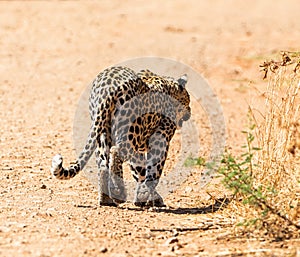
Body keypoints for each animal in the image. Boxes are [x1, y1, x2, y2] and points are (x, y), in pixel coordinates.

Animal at [50, 65, 191, 206]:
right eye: (188, 101)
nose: (190, 112)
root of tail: (107, 90)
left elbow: (140, 170)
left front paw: (146, 196)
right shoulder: (160, 137)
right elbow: (153, 169)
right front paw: (147, 196)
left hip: (103, 131)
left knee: (103, 163)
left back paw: (106, 198)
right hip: (130, 131)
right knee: (116, 152)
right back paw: (118, 193)